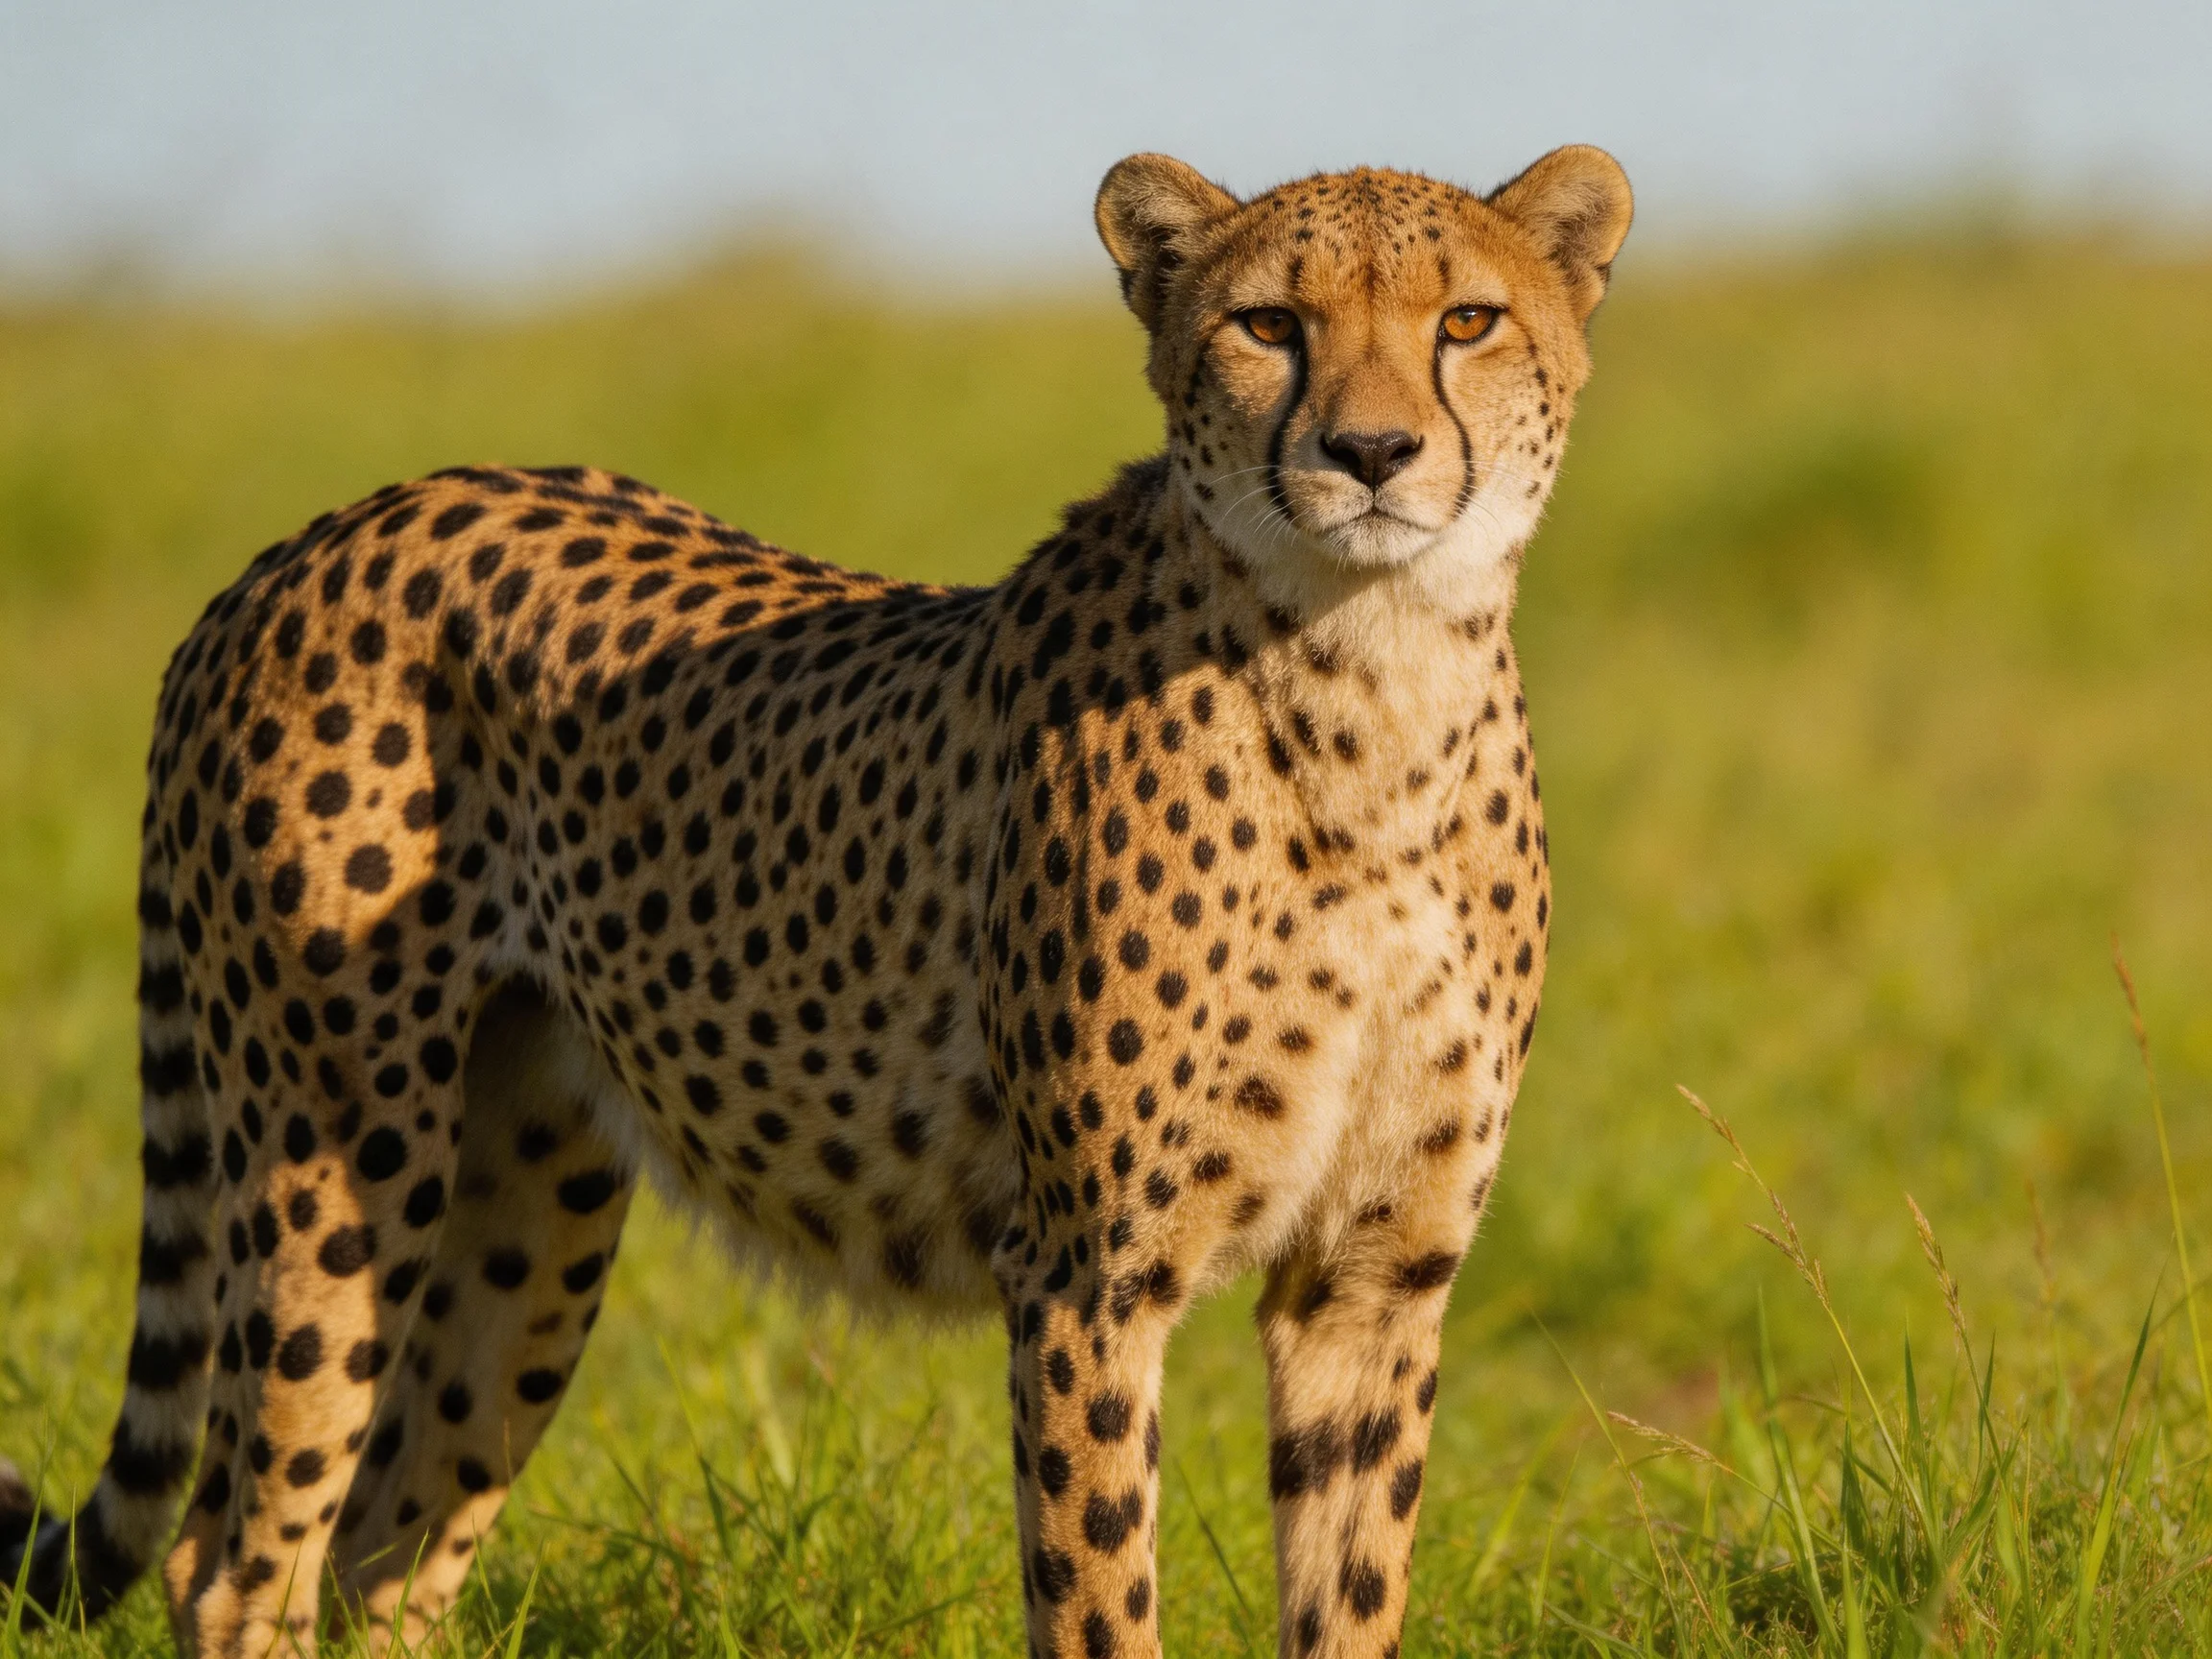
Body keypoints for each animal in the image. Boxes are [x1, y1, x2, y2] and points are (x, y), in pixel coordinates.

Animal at [0, 143, 1630, 1658]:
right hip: (337, 1151)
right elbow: (1101, 1595)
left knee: (379, 1556)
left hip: (529, 1195)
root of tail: (314, 540)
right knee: (237, 1566)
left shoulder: (1372, 1279)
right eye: (1271, 324)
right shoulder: (1088, 1278)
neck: (1375, 686)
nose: (1373, 449)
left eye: (1468, 320)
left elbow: (1349, 1595)